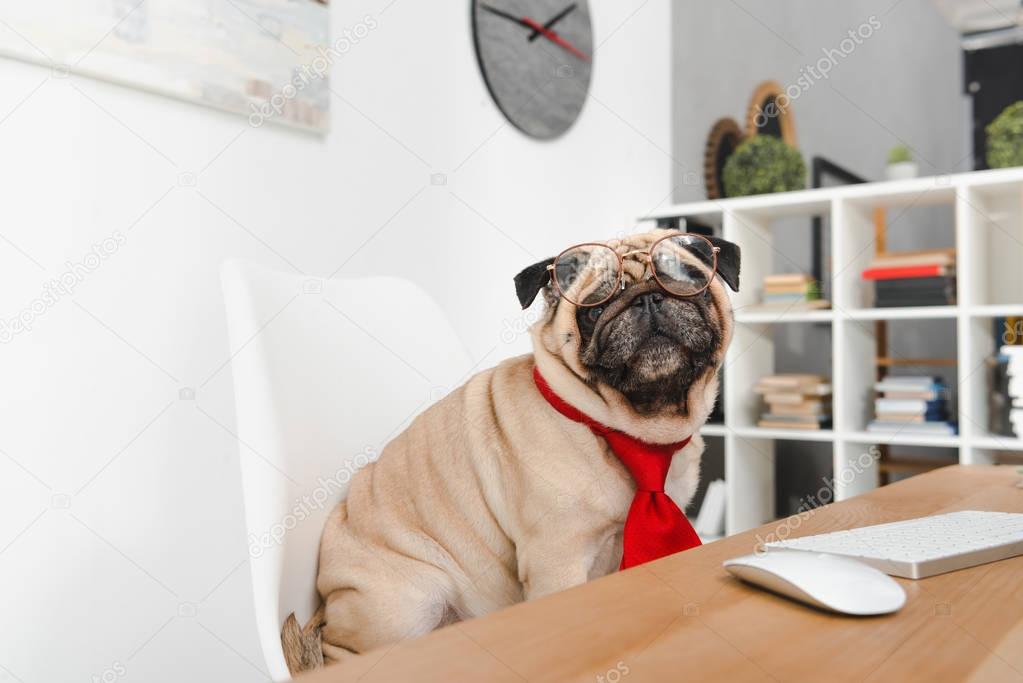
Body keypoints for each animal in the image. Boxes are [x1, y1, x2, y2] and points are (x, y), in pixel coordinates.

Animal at [284, 228, 740, 670]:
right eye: (594, 310)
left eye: (687, 284)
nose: (648, 298)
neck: (623, 429)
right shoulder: (556, 559)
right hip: (404, 607)